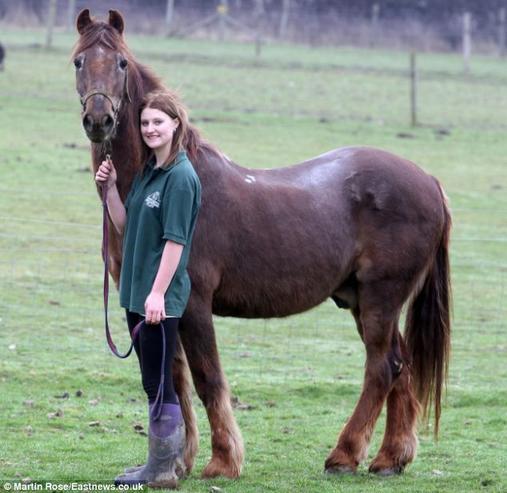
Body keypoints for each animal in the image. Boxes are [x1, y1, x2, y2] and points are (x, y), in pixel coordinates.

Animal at [72, 9, 452, 480]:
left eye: (122, 62)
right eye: (78, 61)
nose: (99, 119)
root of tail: (429, 181)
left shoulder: (193, 303)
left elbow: (207, 378)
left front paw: (222, 461)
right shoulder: (154, 307)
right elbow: (173, 379)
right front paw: (179, 461)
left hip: (381, 298)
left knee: (381, 368)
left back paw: (344, 455)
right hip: (363, 301)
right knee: (400, 367)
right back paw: (389, 458)